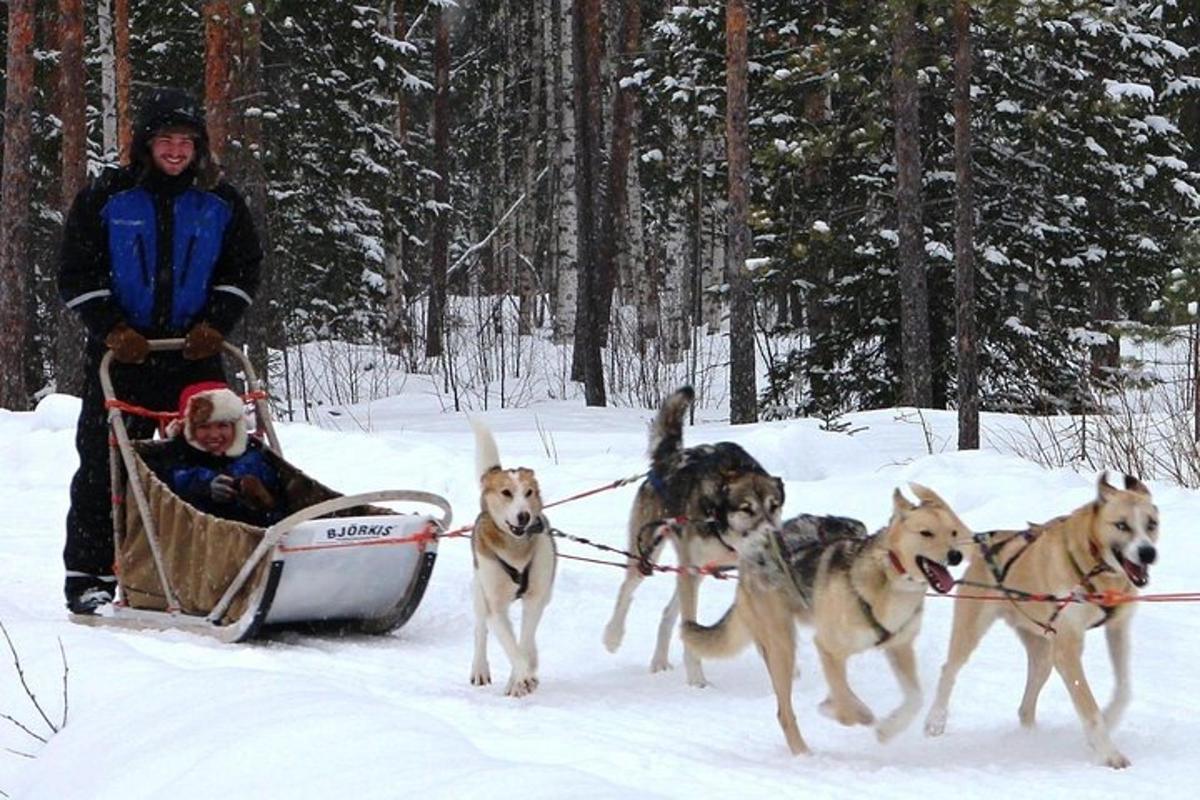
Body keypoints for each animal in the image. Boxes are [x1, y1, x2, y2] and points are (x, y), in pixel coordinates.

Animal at [472, 417, 556, 695]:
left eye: (528, 492)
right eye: (506, 493)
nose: (524, 516)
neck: (515, 549)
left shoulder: (536, 597)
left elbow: (524, 641)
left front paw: (519, 677)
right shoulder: (495, 606)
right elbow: (510, 645)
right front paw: (524, 677)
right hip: (479, 592)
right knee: (480, 631)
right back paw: (480, 669)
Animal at [600, 388, 787, 690]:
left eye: (775, 506)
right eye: (746, 508)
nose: (773, 537)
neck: (722, 529)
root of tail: (666, 460)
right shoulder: (689, 569)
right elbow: (690, 632)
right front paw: (697, 679)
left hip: (694, 572)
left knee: (667, 613)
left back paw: (659, 661)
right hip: (650, 554)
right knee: (627, 590)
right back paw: (613, 636)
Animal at [681, 484, 969, 753]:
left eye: (953, 533)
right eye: (926, 533)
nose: (956, 556)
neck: (888, 579)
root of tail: (751, 554)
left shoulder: (899, 647)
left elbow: (915, 699)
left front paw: (887, 730)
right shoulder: (828, 648)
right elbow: (845, 699)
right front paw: (845, 712)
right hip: (782, 647)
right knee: (784, 713)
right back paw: (802, 753)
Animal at [921, 474, 1156, 767]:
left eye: (1151, 524)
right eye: (1122, 525)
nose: (1148, 552)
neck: (1095, 567)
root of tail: (988, 545)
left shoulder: (1117, 629)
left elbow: (1124, 689)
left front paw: (1109, 720)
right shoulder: (1068, 650)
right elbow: (1087, 704)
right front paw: (1108, 752)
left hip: (1044, 654)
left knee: (1025, 707)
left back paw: (1030, 739)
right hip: (973, 631)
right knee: (949, 669)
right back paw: (935, 720)